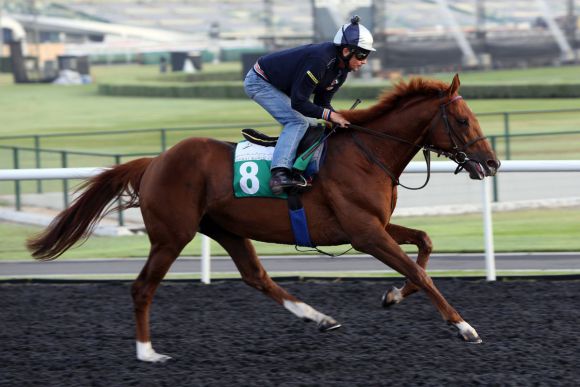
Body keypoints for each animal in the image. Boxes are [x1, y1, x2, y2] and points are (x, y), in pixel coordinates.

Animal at [27, 73, 498, 364]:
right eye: (462, 119)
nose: (491, 163)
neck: (368, 153)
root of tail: (155, 161)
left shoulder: (374, 226)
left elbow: (425, 243)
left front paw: (393, 296)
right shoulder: (364, 232)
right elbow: (420, 272)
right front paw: (464, 326)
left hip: (226, 230)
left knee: (257, 277)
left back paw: (317, 317)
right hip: (171, 236)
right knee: (143, 287)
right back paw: (147, 352)